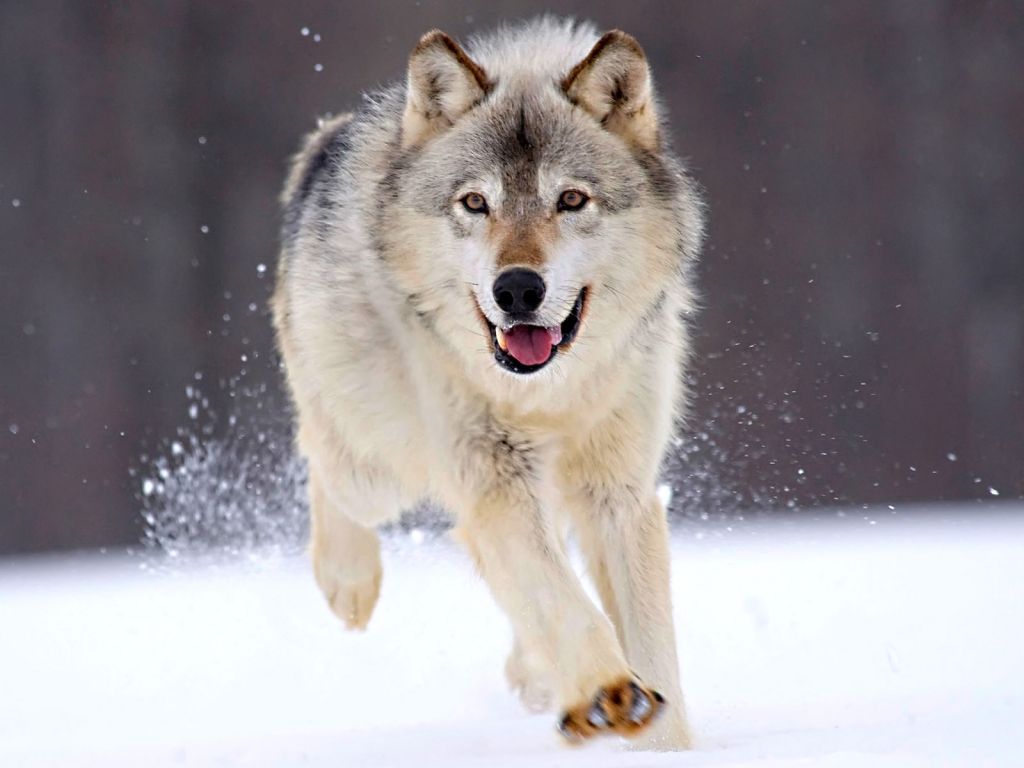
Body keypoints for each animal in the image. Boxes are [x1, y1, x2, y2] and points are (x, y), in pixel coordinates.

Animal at [272, 17, 704, 750]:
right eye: (475, 203)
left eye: (571, 200)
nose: (518, 289)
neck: (548, 394)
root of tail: (328, 140)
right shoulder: (494, 480)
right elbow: (565, 603)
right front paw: (607, 692)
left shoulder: (619, 492)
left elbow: (650, 645)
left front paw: (659, 740)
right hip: (378, 465)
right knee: (323, 460)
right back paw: (348, 583)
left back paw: (534, 675)